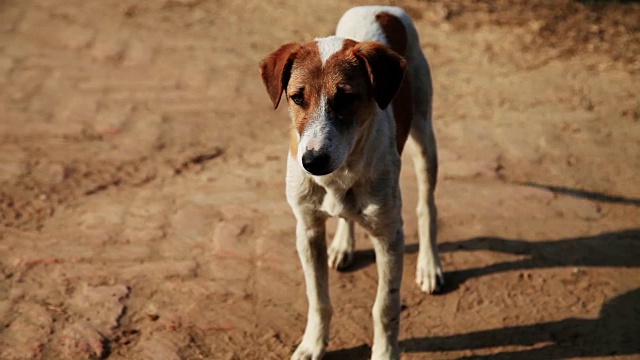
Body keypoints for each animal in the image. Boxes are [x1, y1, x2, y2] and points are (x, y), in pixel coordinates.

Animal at [258, 5, 442, 360]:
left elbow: (384, 307)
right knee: (347, 216)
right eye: (297, 98)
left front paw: (385, 353)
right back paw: (344, 244)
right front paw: (312, 344)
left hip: (425, 135)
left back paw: (429, 265)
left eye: (346, 98)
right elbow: (318, 299)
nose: (313, 162)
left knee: (427, 206)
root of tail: (382, 9)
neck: (339, 172)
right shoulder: (307, 229)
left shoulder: (389, 236)